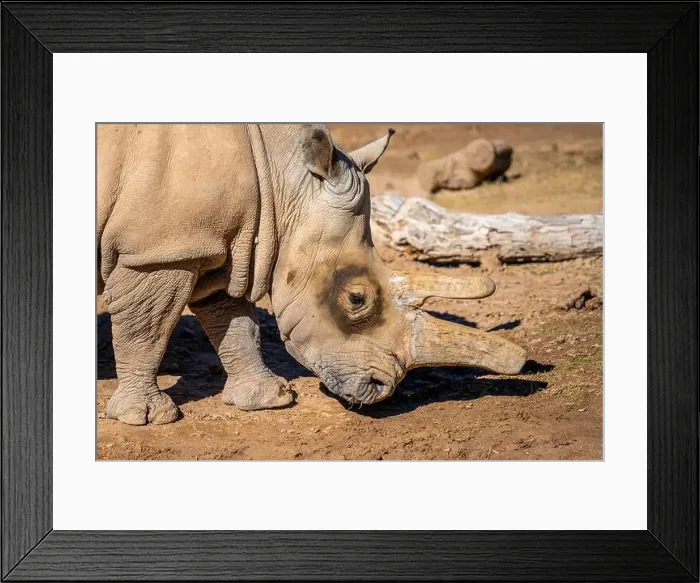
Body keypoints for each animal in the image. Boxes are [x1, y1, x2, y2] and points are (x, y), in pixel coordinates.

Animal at [98, 124, 526, 425]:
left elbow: (235, 322)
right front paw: (148, 418)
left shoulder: (216, 242)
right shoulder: (161, 251)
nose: (380, 390)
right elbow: (147, 329)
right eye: (357, 299)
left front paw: (270, 400)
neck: (277, 177)